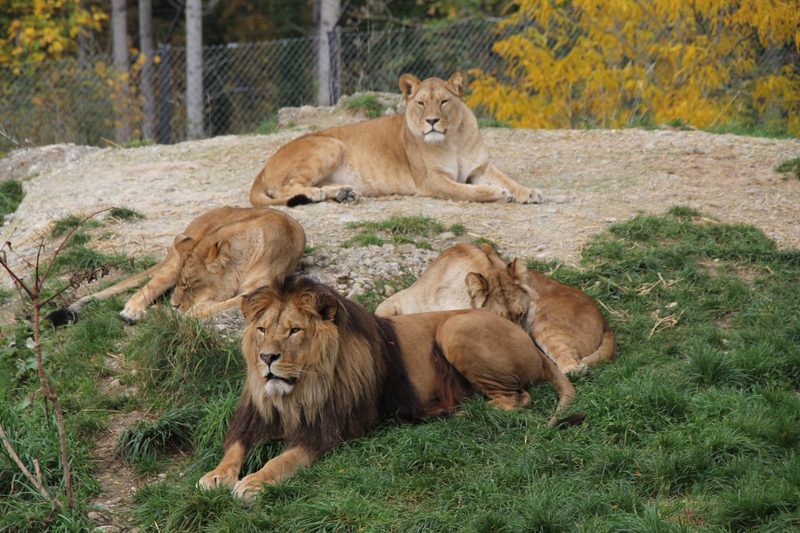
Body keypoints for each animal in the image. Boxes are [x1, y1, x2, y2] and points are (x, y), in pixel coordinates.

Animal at [47, 206, 305, 325]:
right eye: (183, 284)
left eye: (190, 284)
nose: (174, 304)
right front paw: (180, 311)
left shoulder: (263, 288)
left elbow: (225, 303)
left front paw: (187, 310)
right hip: (172, 264)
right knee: (142, 292)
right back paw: (134, 312)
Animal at [197, 275, 576, 500]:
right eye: (262, 329)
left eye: (294, 331)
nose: (266, 358)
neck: (297, 393)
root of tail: (534, 346)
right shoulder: (253, 417)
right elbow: (233, 449)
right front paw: (215, 476)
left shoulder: (329, 429)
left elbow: (284, 459)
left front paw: (254, 482)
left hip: (454, 328)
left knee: (517, 397)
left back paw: (463, 413)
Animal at [249, 71, 541, 207]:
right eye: (421, 103)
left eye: (444, 102)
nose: (432, 121)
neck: (452, 140)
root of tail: (263, 168)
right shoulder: (431, 180)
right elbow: (466, 191)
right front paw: (496, 193)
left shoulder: (480, 168)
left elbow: (507, 179)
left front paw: (529, 191)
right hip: (330, 144)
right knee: (287, 188)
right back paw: (317, 193)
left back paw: (342, 192)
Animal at [375, 243, 616, 375]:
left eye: (521, 314)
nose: (524, 347)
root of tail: (606, 322)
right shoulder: (398, 299)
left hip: (546, 326)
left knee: (574, 364)